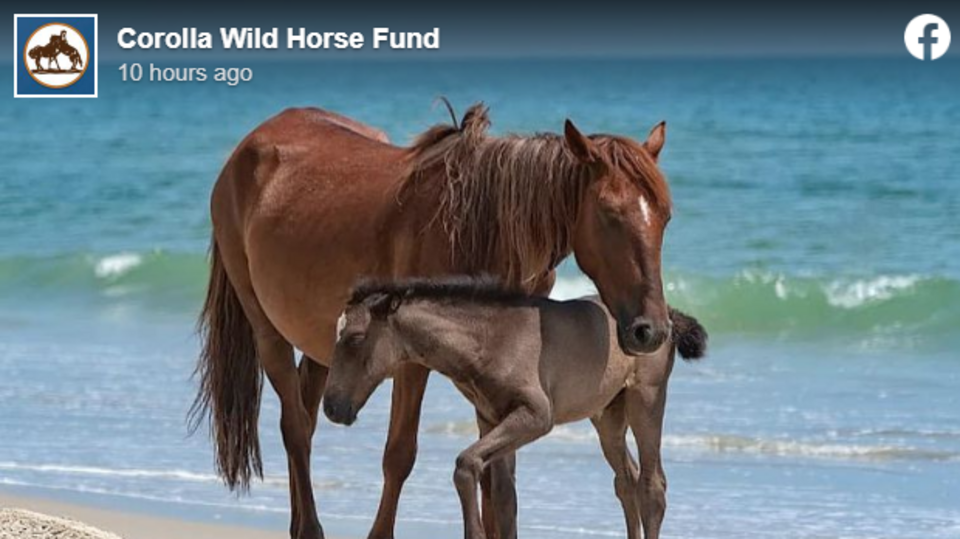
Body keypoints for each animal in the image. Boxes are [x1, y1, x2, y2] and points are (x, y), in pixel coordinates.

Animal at [323, 277, 708, 539]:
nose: (331, 407)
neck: (490, 340)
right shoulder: (492, 417)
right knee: (625, 479)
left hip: (646, 398)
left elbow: (466, 464)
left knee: (651, 486)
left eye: (355, 338)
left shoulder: (537, 416)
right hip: (607, 415)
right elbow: (505, 498)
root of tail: (667, 316)